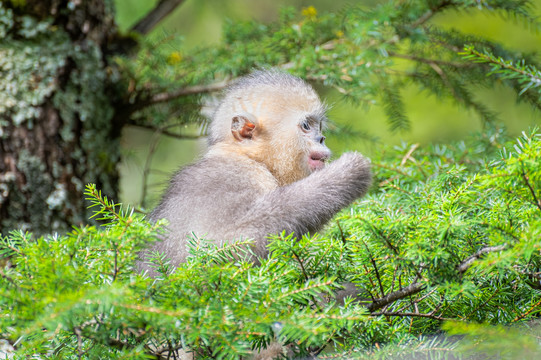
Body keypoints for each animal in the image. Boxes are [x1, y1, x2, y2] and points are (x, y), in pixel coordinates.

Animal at [136, 69, 372, 272]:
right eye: (306, 126)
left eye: (319, 127)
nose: (321, 138)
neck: (250, 159)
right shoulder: (230, 179)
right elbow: (223, 249)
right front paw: (346, 174)